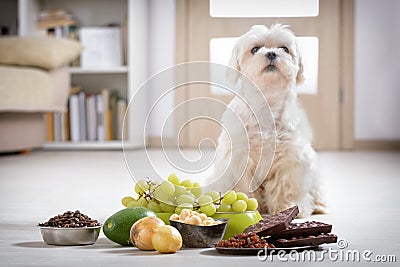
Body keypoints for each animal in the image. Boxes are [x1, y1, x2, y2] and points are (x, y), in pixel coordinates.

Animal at [212, 24, 324, 218]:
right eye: (255, 49)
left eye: (284, 49)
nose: (271, 53)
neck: (267, 105)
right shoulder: (240, 157)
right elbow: (244, 188)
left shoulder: (290, 159)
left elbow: (284, 187)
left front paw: (288, 207)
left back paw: (318, 205)